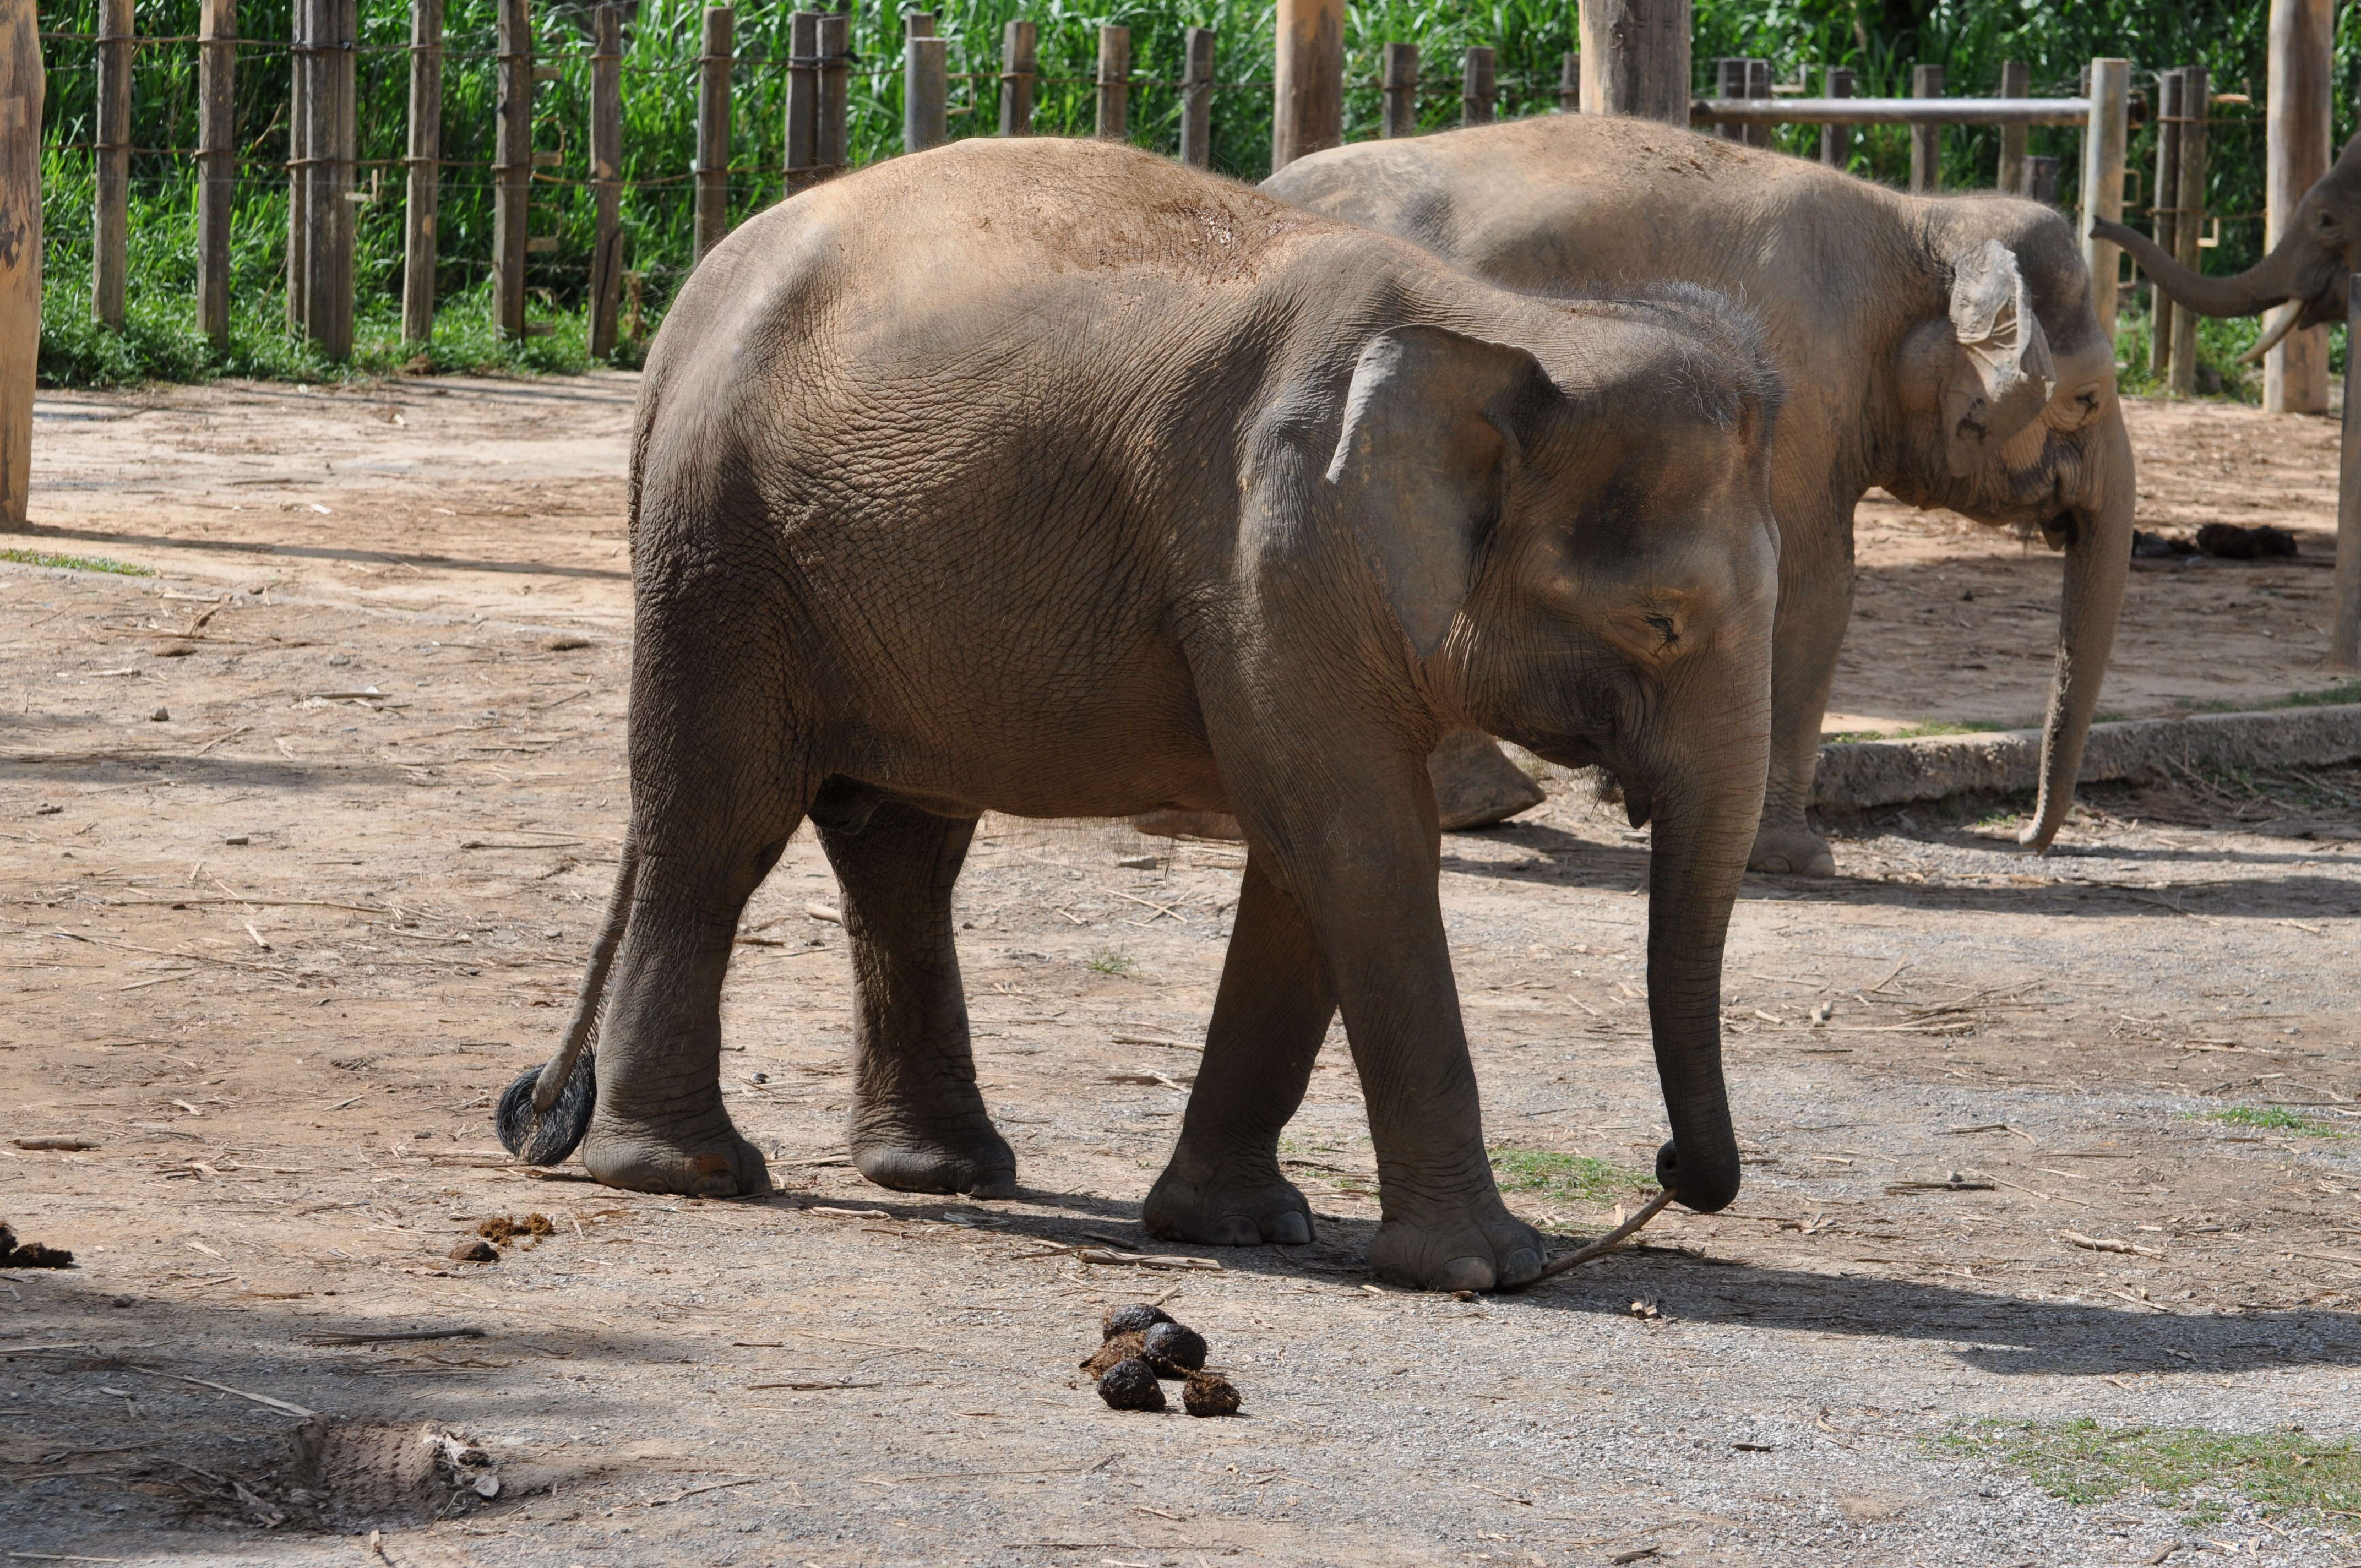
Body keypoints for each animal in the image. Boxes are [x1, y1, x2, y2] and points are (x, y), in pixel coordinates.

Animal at [503, 134, 1785, 1294]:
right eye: (1661, 621)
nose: (1671, 1170)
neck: (1504, 324)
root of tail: (680, 324)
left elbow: (1302, 859)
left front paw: (1238, 1227)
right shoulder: (1278, 552)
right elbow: (1359, 843)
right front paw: (1487, 1267)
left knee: (901, 843)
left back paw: (943, 1170)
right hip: (722, 550)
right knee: (718, 822)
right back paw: (688, 1171)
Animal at [1275, 116, 2144, 873]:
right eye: (2088, 399)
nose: (2027, 841)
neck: (1922, 224)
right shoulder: (1800, 389)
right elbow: (1814, 586)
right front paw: (1795, 861)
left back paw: (1487, 807)